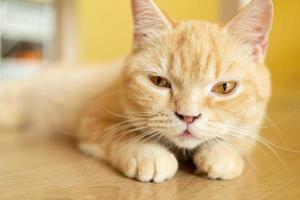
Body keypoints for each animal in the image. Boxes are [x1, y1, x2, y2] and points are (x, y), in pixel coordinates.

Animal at [0, 0, 274, 184]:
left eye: (224, 88)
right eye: (159, 81)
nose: (188, 116)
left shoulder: (251, 129)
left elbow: (235, 140)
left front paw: (222, 155)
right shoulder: (92, 120)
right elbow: (123, 135)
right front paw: (149, 154)